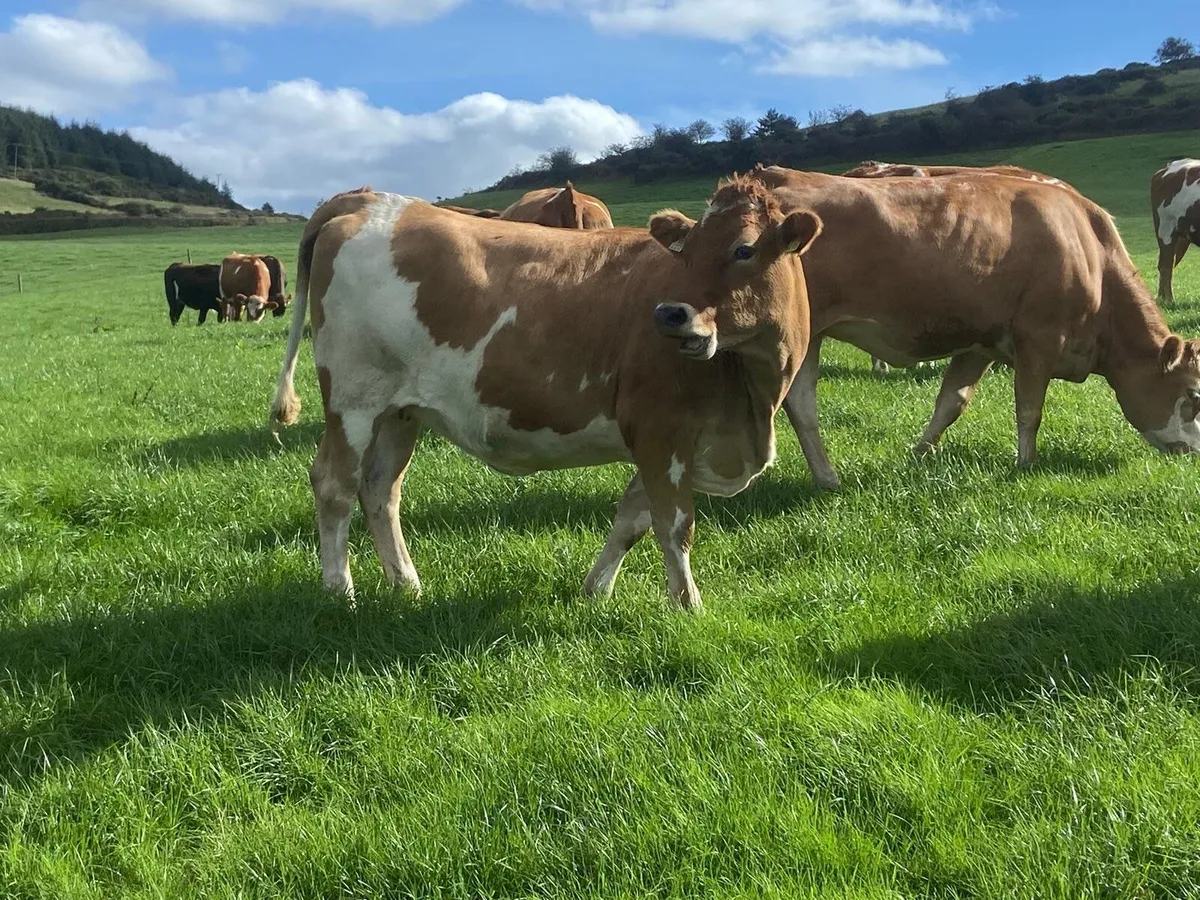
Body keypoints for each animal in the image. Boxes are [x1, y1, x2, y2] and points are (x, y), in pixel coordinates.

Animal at [267, 179, 822, 610]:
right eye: (684, 251)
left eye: (745, 249)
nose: (670, 313)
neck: (751, 399)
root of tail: (371, 200)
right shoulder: (660, 431)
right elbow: (673, 527)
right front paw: (687, 606)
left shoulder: (665, 444)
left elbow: (631, 520)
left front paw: (595, 590)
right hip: (354, 401)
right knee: (335, 485)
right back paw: (340, 592)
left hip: (399, 412)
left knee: (380, 489)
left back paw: (407, 585)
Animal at [1151, 158, 1200, 306]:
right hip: (1165, 229)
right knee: (1166, 265)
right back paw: (1169, 300)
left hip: (1182, 237)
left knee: (1167, 264)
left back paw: (1161, 298)